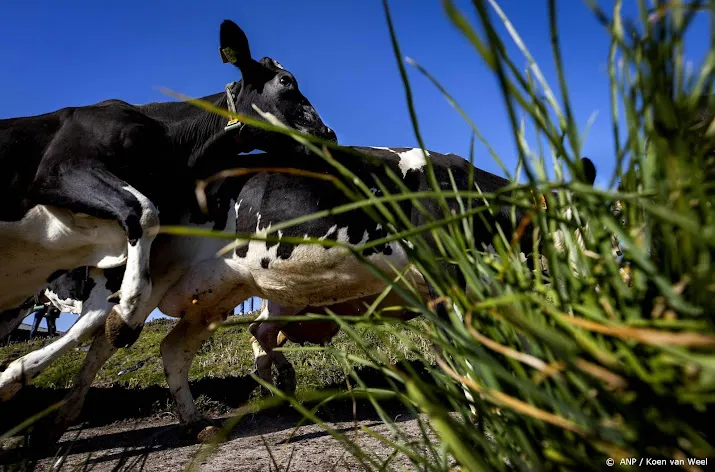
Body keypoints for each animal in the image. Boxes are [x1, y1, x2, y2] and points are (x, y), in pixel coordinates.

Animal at [0, 18, 336, 350]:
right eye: (286, 82)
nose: (329, 134)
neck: (170, 143)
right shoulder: (60, 168)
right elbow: (143, 211)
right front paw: (128, 309)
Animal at [1, 145, 600, 446]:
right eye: (571, 224)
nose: (593, 276)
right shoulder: (450, 280)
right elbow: (474, 359)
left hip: (214, 290)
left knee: (165, 348)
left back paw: (194, 424)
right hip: (141, 278)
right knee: (103, 334)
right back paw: (33, 394)